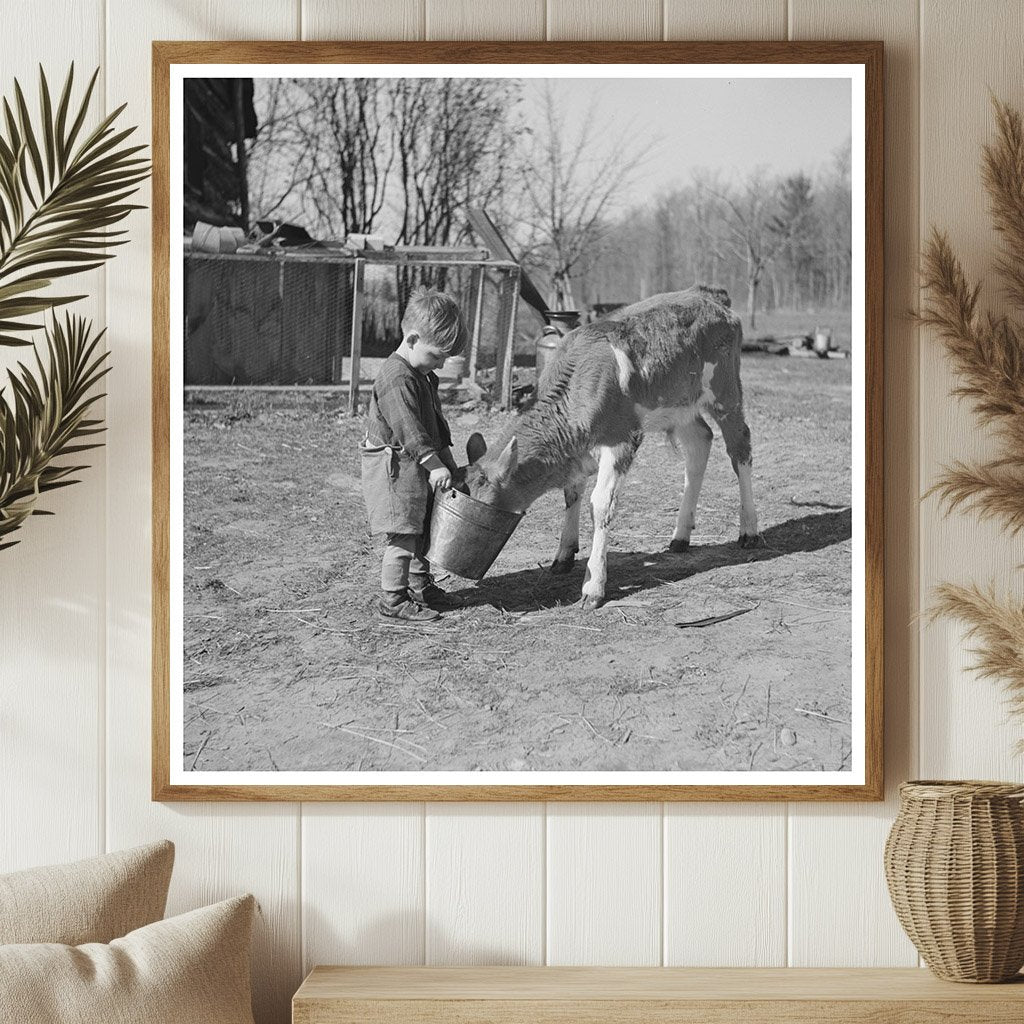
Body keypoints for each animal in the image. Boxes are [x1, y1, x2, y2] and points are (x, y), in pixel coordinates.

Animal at [460, 284, 757, 606]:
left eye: (486, 504)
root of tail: (708, 294)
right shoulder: (577, 449)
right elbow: (572, 493)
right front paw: (564, 555)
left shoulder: (620, 439)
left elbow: (600, 504)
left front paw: (593, 586)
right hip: (679, 404)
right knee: (699, 443)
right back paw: (680, 536)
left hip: (725, 393)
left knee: (740, 447)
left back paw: (749, 530)